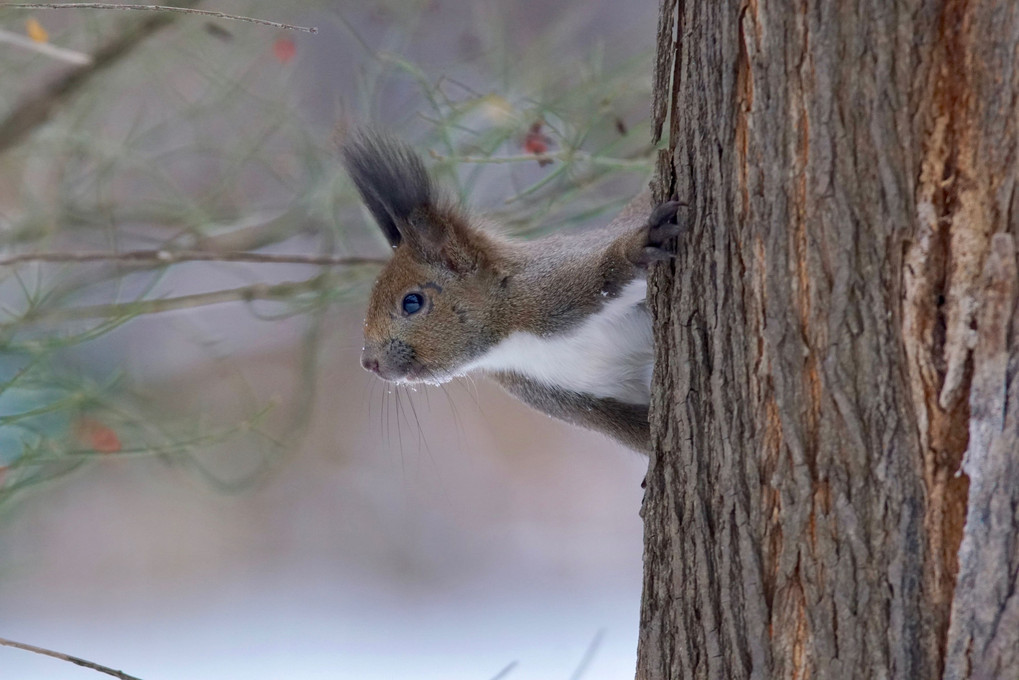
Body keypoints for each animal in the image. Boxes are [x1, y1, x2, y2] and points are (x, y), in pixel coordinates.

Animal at [342, 132, 684, 452]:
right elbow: (632, 430)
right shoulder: (571, 399)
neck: (510, 341)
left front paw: (638, 248)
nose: (368, 363)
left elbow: (608, 270)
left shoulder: (556, 287)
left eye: (412, 302)